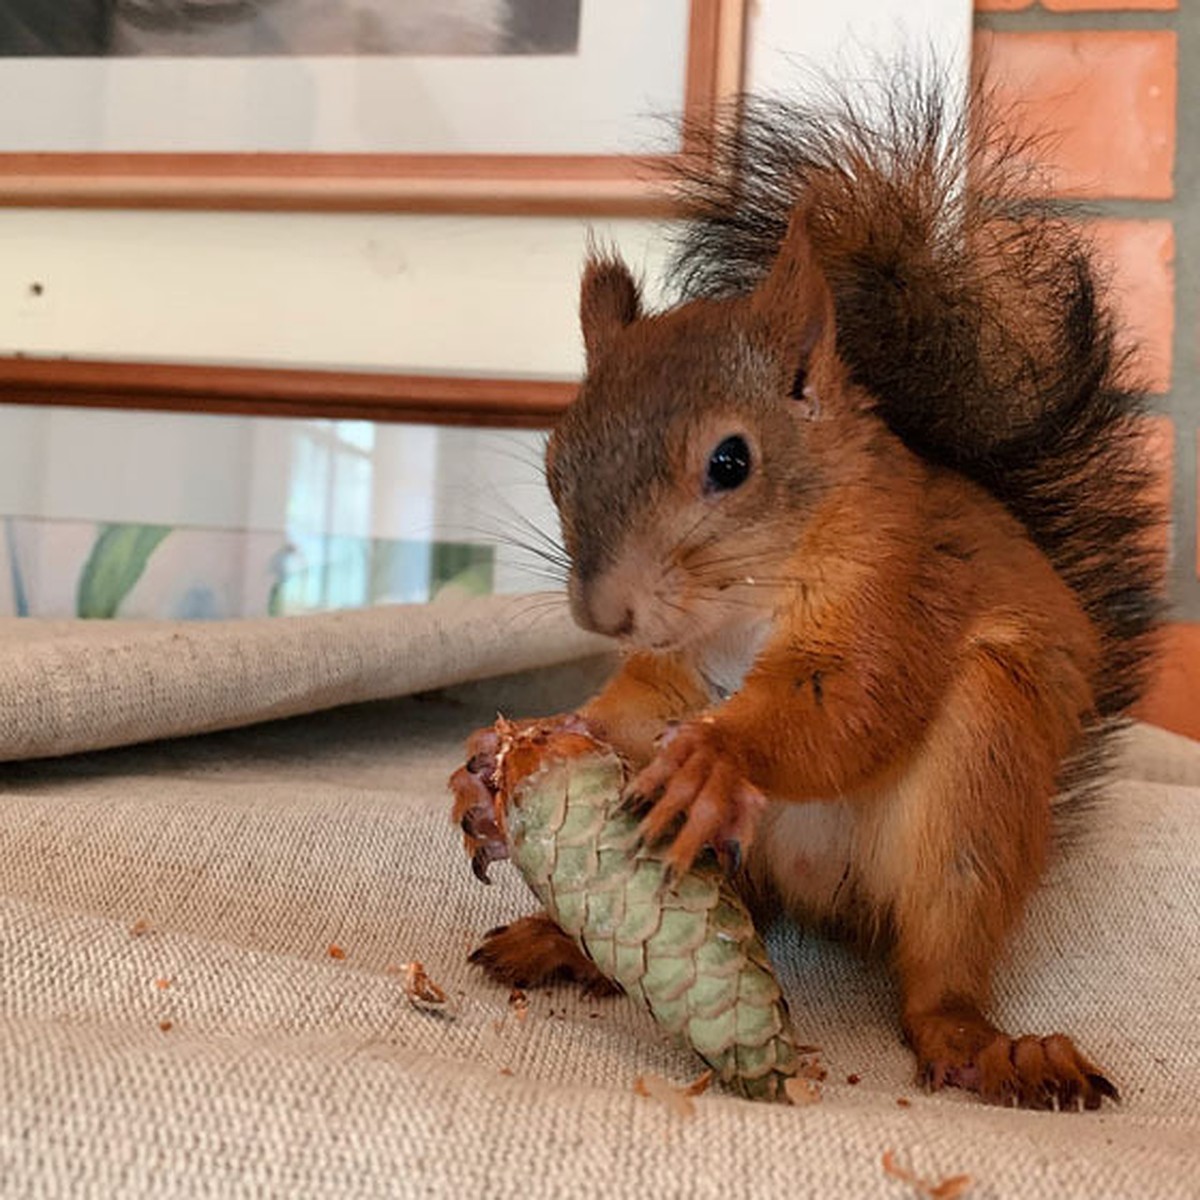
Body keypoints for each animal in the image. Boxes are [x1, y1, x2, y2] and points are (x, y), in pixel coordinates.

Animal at [451, 75, 1161, 1108]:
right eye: (555, 460)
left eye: (731, 461)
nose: (604, 613)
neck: (744, 605)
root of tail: (830, 902)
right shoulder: (680, 668)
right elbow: (640, 709)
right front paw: (514, 753)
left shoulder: (899, 587)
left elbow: (852, 701)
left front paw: (718, 757)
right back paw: (564, 944)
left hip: (978, 792)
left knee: (941, 964)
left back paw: (985, 1045)